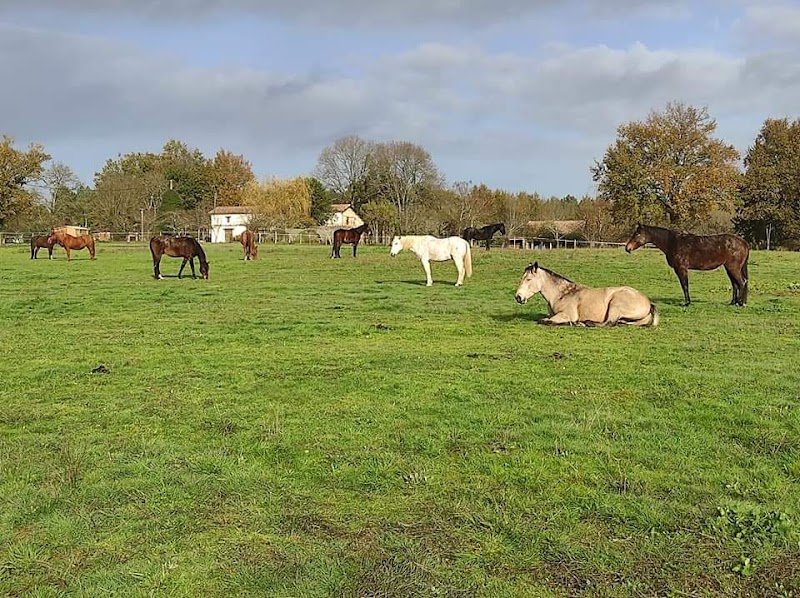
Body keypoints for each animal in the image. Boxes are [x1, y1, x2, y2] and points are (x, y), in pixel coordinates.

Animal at [515, 262, 659, 327]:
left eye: (528, 279)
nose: (518, 297)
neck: (562, 294)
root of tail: (648, 302)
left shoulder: (566, 315)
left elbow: (545, 321)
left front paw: (572, 323)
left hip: (615, 304)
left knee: (608, 323)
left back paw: (585, 323)